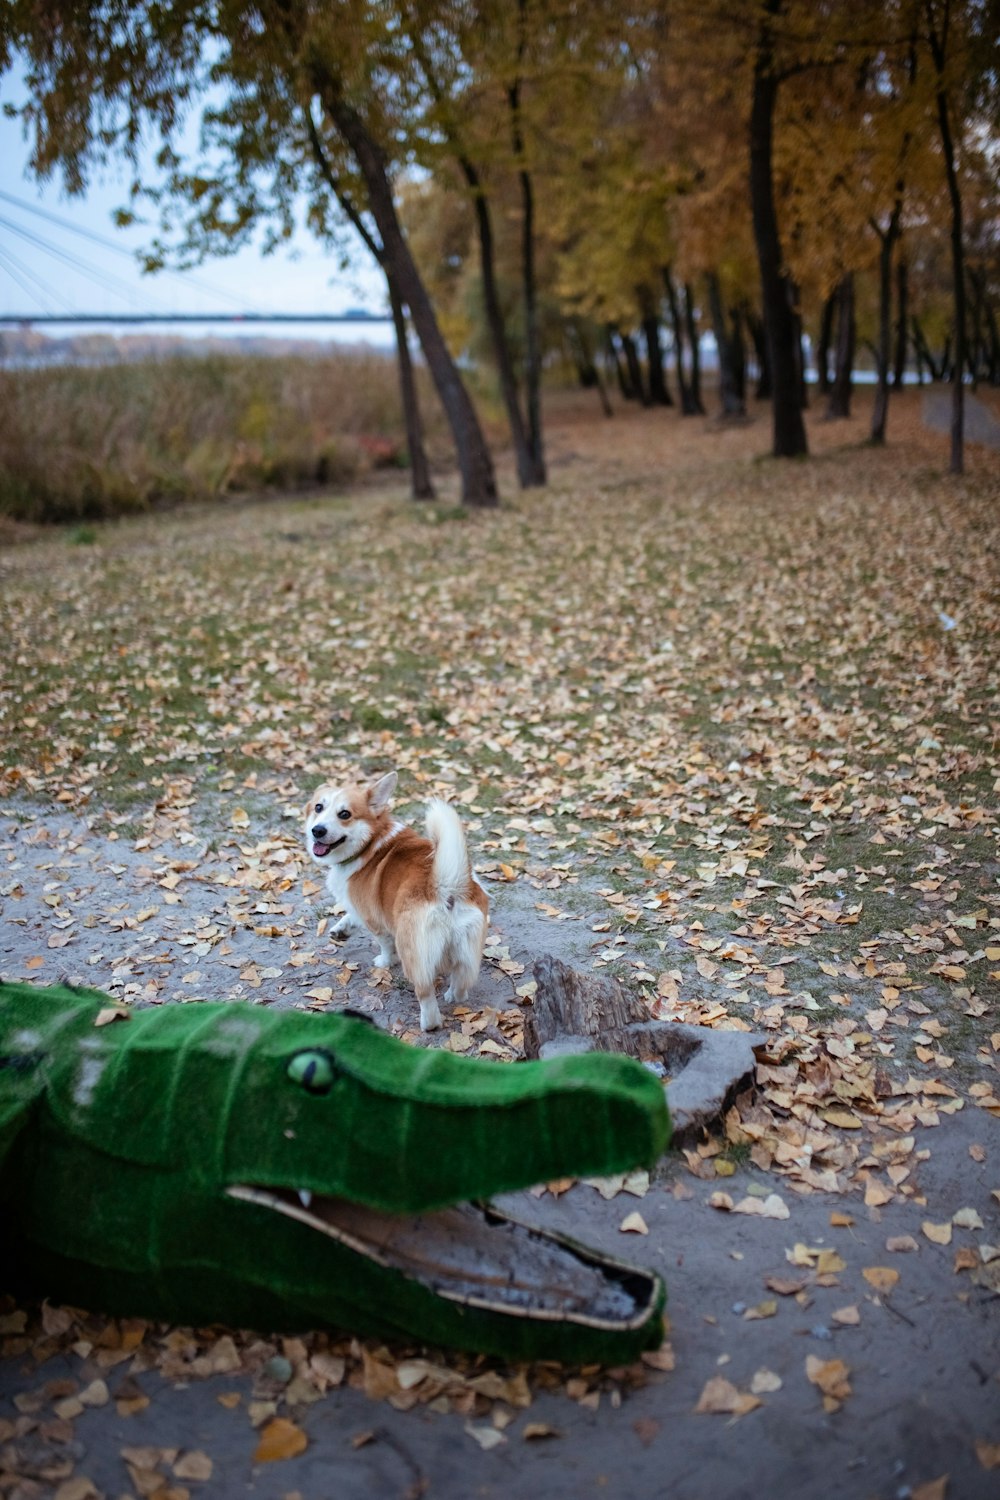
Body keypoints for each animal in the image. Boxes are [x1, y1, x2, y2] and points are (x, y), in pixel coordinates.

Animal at [307, 774, 491, 1032]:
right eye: (318, 807)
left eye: (344, 814)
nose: (317, 830)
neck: (370, 841)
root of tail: (447, 887)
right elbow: (350, 916)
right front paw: (340, 930)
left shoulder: (375, 920)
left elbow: (384, 944)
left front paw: (384, 962)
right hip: (466, 949)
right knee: (461, 982)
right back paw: (452, 996)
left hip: (413, 954)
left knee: (425, 994)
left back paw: (428, 1024)